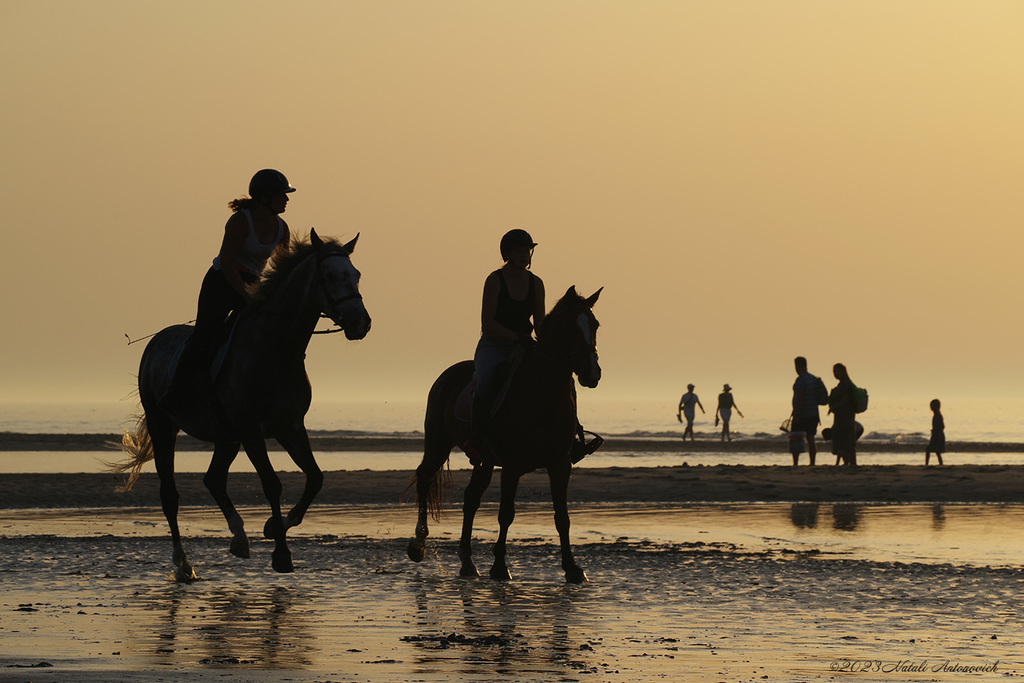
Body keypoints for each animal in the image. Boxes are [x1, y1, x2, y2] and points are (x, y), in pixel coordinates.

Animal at [110, 231, 372, 581]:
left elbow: (315, 477)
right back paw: (183, 564)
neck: (275, 349)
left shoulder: (290, 427)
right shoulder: (251, 431)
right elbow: (272, 484)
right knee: (170, 494)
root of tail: (155, 342)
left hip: (226, 436)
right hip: (163, 424)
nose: (361, 323)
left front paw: (274, 526)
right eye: (330, 275)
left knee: (213, 479)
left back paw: (239, 537)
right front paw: (281, 554)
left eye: (356, 274)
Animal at [405, 286, 598, 585]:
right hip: (438, 442)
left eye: (595, 325)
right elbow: (506, 513)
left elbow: (562, 517)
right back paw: (418, 544)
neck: (543, 396)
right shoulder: (513, 465)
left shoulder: (560, 465)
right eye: (569, 327)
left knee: (471, 498)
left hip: (483, 459)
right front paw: (499, 567)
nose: (592, 373)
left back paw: (468, 563)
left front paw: (572, 568)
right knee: (425, 477)